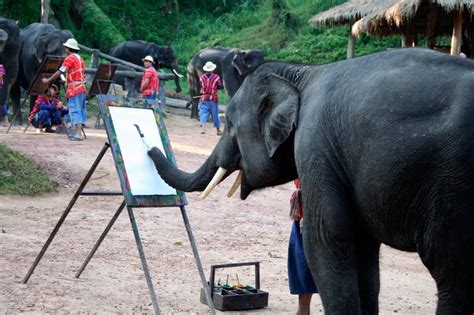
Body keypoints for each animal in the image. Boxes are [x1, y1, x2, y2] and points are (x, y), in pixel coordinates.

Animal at [148, 48, 474, 314]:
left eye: (229, 124)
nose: (150, 147)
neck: (302, 73)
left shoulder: (316, 144)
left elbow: (326, 237)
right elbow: (363, 246)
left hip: (453, 186)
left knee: (452, 275)